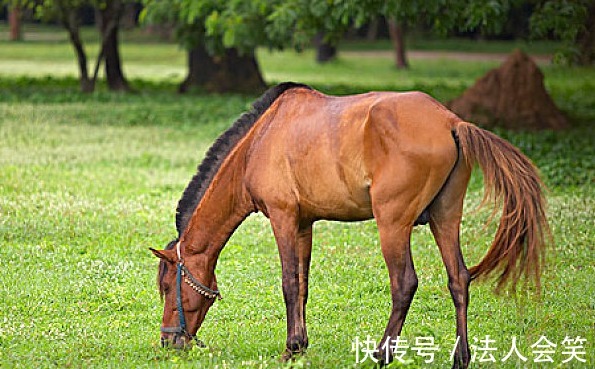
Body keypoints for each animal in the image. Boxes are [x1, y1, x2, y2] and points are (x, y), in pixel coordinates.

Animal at [152, 82, 548, 366]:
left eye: (169, 286)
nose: (168, 340)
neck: (260, 140)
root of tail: (451, 122)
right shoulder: (304, 224)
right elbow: (303, 285)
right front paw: (301, 345)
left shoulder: (282, 218)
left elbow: (288, 284)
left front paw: (290, 348)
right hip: (445, 218)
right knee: (459, 280)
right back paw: (460, 358)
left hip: (392, 224)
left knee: (404, 283)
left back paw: (382, 354)